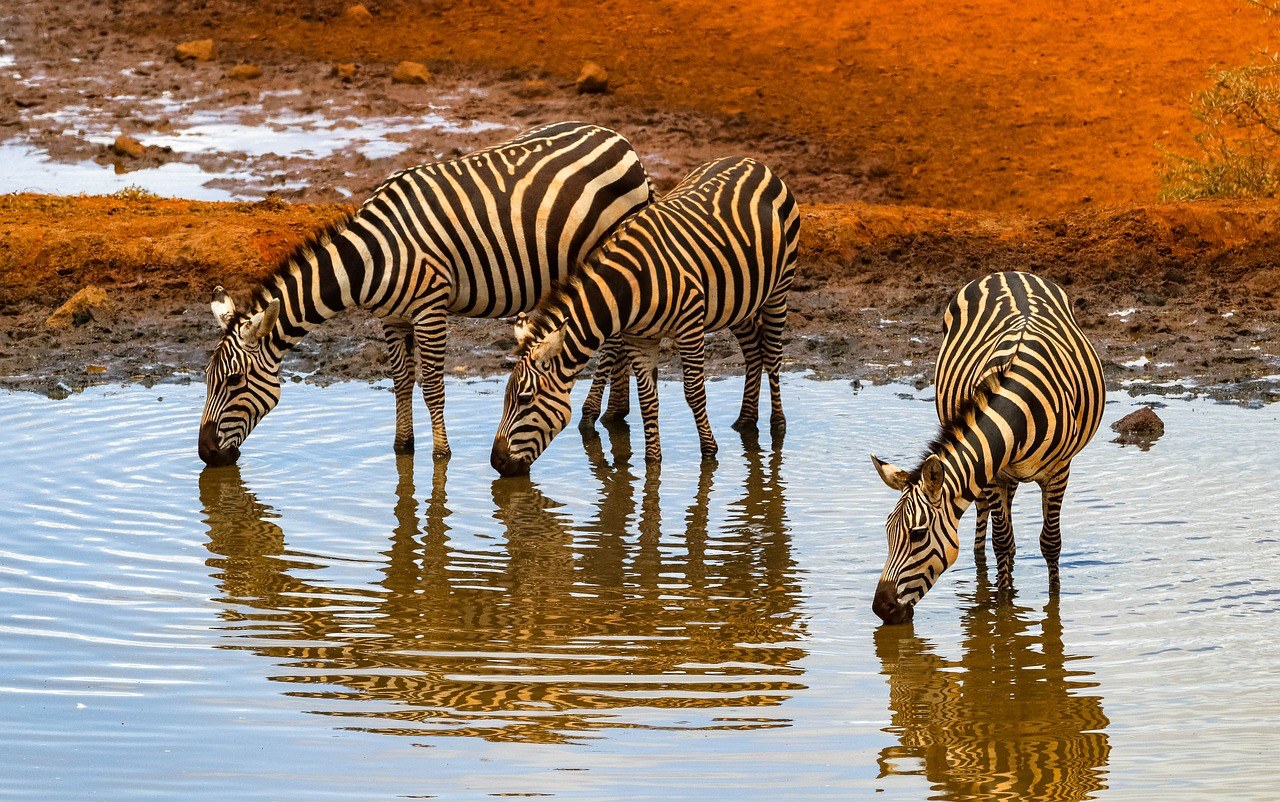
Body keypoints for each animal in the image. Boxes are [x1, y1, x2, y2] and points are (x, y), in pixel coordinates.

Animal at [198, 121, 650, 468]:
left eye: (234, 381)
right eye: (206, 380)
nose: (205, 454)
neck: (369, 259)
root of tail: (618, 137)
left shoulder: (430, 307)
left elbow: (432, 384)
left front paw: (441, 453)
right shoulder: (392, 317)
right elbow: (401, 380)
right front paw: (402, 446)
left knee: (614, 341)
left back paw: (596, 414)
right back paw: (615, 414)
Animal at [488, 156, 798, 475]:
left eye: (524, 399)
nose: (497, 462)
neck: (626, 288)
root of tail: (752, 161)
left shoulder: (690, 324)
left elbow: (693, 392)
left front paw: (709, 452)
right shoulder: (638, 339)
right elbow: (648, 400)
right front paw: (652, 462)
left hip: (780, 286)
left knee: (773, 353)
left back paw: (777, 427)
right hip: (738, 299)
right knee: (753, 348)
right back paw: (746, 421)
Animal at [865, 272, 1105, 624]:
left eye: (918, 535)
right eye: (886, 533)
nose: (881, 608)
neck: (1019, 409)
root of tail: (1008, 273)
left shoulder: (1059, 471)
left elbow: (1050, 543)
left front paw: (1051, 604)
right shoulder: (991, 473)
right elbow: (1002, 541)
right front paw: (1002, 606)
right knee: (986, 520)